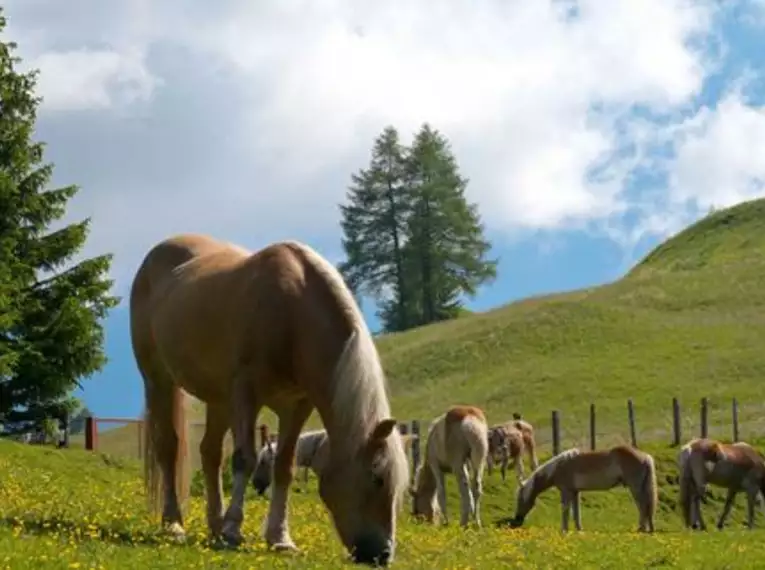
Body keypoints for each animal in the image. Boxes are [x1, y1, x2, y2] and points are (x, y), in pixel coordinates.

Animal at [130, 232, 412, 564]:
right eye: (377, 478)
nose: (383, 554)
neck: (292, 314)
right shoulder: (246, 393)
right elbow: (244, 459)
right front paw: (233, 530)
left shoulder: (297, 405)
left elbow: (284, 467)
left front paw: (280, 538)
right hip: (158, 380)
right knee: (168, 449)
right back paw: (174, 524)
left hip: (219, 399)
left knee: (210, 453)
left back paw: (214, 525)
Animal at [508, 442, 656, 532]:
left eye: (519, 499)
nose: (517, 520)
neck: (559, 467)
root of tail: (645, 456)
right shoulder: (575, 492)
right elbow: (576, 512)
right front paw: (579, 530)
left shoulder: (566, 491)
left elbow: (565, 510)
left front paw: (564, 530)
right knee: (646, 506)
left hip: (635, 488)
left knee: (643, 506)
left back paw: (642, 529)